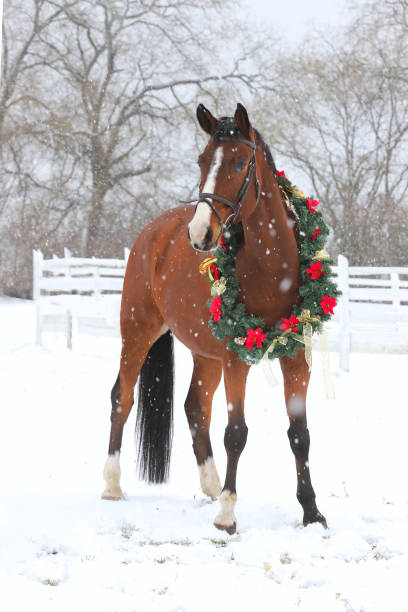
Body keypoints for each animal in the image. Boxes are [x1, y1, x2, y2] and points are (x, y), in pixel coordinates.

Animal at [102, 103, 328, 532]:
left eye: (240, 163)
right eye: (202, 160)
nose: (200, 233)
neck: (273, 267)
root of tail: (154, 232)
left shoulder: (296, 357)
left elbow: (300, 434)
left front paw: (312, 512)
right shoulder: (236, 358)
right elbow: (236, 432)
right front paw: (227, 513)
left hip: (206, 354)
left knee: (195, 408)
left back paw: (210, 485)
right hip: (137, 332)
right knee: (122, 398)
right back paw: (112, 485)